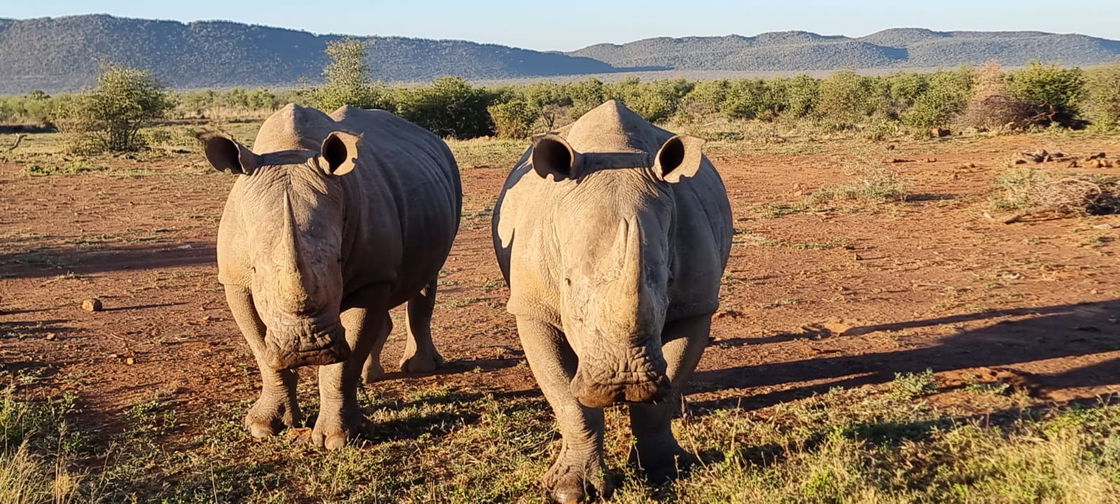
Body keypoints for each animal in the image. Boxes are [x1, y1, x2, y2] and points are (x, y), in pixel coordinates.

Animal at [200, 104, 461, 448]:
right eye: (255, 268)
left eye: (337, 260)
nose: (307, 350)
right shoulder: (235, 280)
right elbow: (261, 349)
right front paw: (263, 427)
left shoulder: (370, 278)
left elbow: (343, 361)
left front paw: (337, 439)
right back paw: (370, 377)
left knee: (426, 278)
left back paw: (418, 367)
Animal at [492, 100, 732, 501]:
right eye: (567, 282)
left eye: (666, 282)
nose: (623, 382)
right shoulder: (532, 307)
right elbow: (568, 401)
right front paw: (570, 490)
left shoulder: (696, 304)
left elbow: (663, 396)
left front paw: (664, 470)